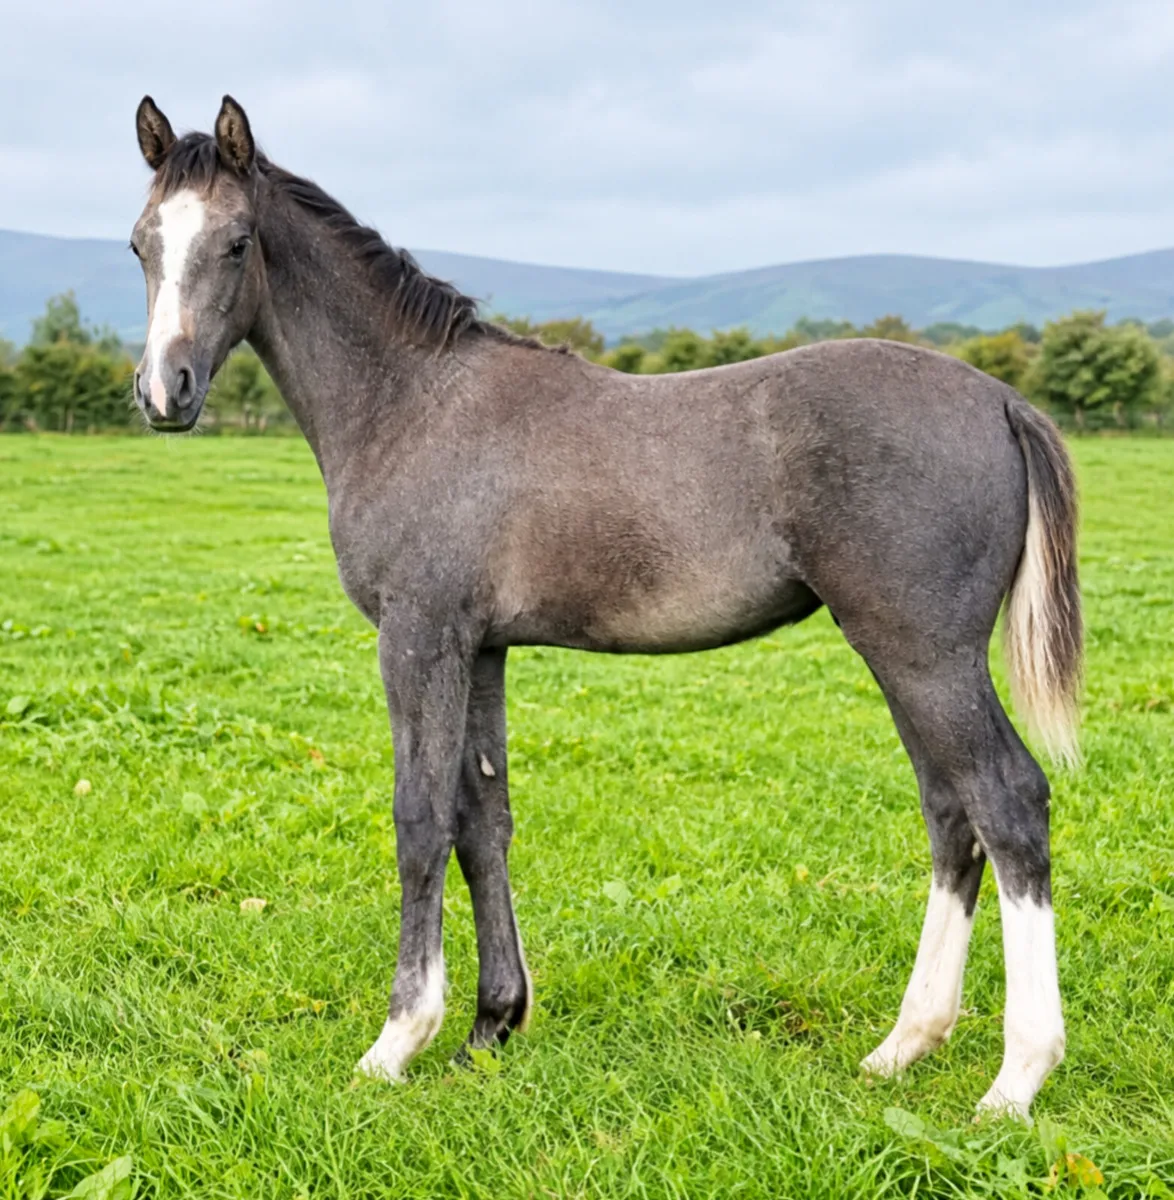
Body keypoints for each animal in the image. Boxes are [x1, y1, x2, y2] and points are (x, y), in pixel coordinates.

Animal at [128, 95, 1082, 1118]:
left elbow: (420, 819)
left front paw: (398, 1040)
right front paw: (491, 1025)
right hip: (907, 658)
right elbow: (483, 822)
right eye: (141, 242)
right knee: (952, 816)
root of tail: (999, 401)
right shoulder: (482, 648)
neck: (411, 403)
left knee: (1006, 802)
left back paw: (1016, 1078)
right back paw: (905, 1044)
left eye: (236, 242)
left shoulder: (419, 638)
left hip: (921, 652)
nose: (164, 392)